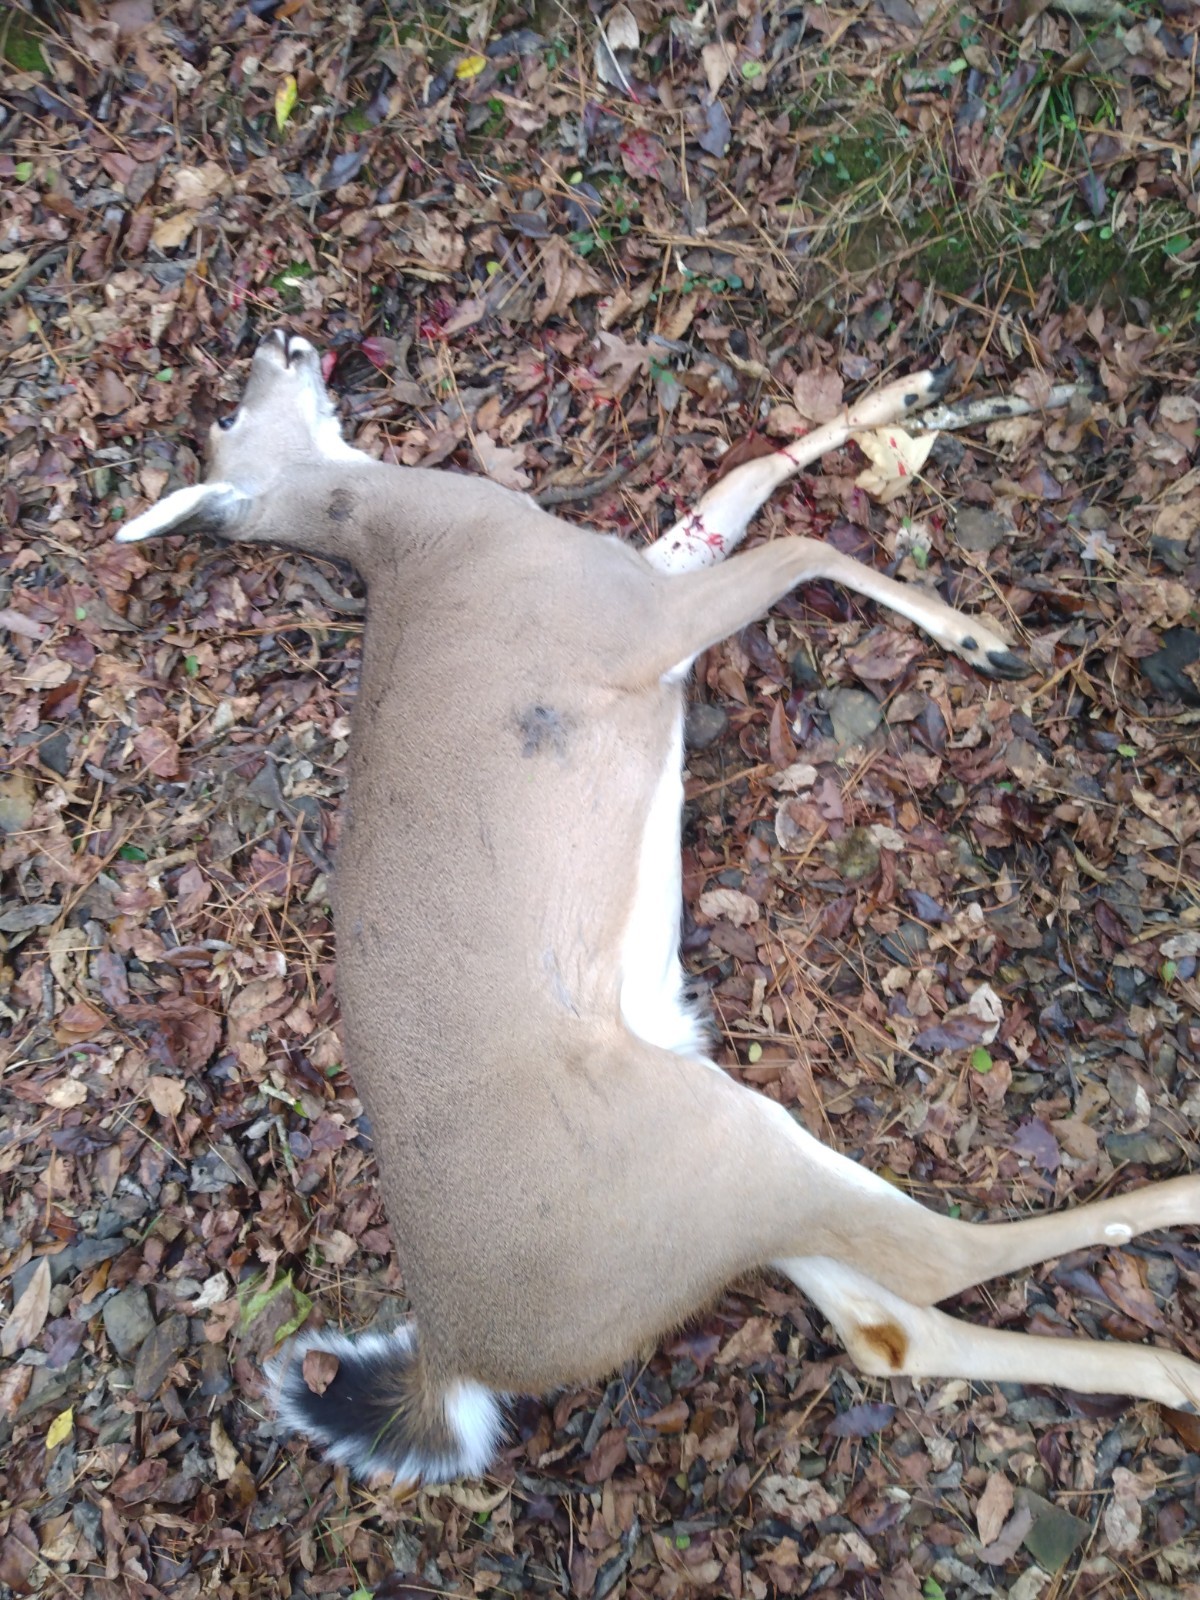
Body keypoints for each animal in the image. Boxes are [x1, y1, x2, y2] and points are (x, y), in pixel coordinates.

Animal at [116, 331, 1200, 1486]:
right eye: (229, 419)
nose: (279, 339)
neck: (434, 536)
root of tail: (454, 1354)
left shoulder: (645, 570)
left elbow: (748, 476)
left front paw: (917, 391)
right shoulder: (638, 620)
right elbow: (803, 540)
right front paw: (980, 632)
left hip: (710, 1184)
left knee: (886, 1325)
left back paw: (1167, 1374)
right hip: (707, 1151)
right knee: (937, 1261)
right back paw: (1182, 1234)